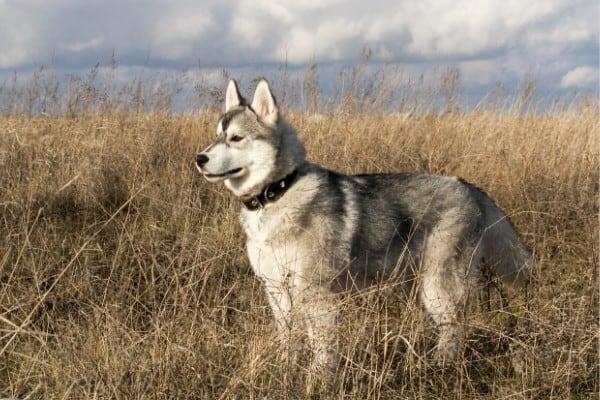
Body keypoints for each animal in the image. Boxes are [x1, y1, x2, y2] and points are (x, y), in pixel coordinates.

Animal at [195, 78, 532, 368]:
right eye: (216, 136)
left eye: (236, 138)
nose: (199, 158)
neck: (278, 192)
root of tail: (467, 186)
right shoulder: (278, 292)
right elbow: (289, 342)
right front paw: (285, 372)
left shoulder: (317, 294)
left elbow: (323, 350)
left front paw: (318, 380)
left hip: (439, 289)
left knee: (453, 329)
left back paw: (440, 368)